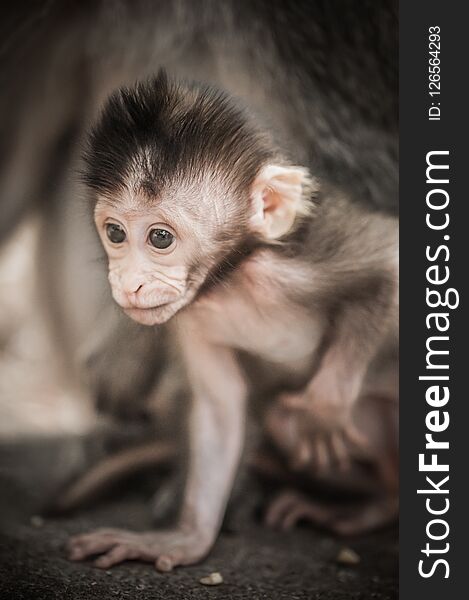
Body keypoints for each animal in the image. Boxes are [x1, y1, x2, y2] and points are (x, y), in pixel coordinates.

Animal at [65, 72, 394, 576]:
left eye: (160, 238)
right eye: (115, 232)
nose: (128, 282)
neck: (234, 277)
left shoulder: (310, 253)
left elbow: (389, 265)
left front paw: (325, 408)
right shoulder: (192, 315)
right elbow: (220, 406)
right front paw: (183, 540)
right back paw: (368, 506)